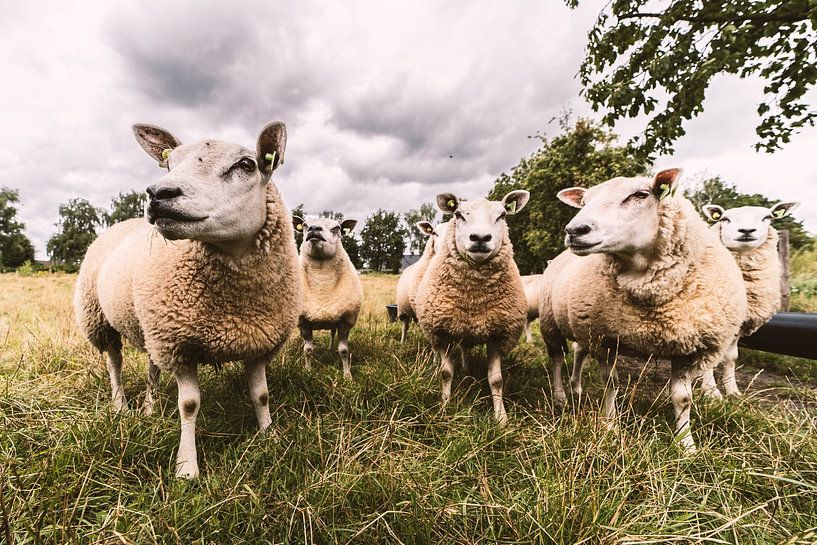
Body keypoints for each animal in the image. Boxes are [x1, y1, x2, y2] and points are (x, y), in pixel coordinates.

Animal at [74, 121, 300, 478]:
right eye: (169, 164)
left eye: (247, 164)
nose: (158, 194)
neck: (235, 308)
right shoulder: (180, 347)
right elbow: (189, 405)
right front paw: (186, 466)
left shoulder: (258, 341)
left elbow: (261, 395)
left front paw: (270, 436)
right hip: (99, 319)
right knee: (114, 363)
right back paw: (120, 405)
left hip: (152, 328)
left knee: (152, 368)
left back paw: (149, 407)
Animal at [292, 215, 363, 380]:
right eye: (304, 225)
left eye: (337, 228)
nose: (314, 229)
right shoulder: (303, 321)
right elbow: (308, 350)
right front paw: (308, 372)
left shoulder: (345, 320)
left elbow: (343, 350)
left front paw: (347, 376)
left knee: (332, 332)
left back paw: (330, 349)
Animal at [415, 191, 530, 424]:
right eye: (458, 214)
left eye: (502, 215)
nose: (480, 238)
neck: (474, 301)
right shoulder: (442, 332)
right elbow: (446, 372)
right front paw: (445, 405)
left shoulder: (498, 333)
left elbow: (496, 380)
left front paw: (501, 418)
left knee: (465, 349)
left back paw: (467, 369)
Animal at [539, 169, 746, 451]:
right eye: (584, 201)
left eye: (640, 194)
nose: (575, 230)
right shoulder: (606, 340)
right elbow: (611, 384)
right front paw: (610, 426)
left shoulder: (689, 347)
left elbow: (682, 398)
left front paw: (686, 444)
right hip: (552, 324)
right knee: (558, 359)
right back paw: (560, 395)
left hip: (581, 325)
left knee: (579, 353)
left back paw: (577, 388)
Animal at [698, 201, 799, 396]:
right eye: (725, 218)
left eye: (767, 217)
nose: (746, 230)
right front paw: (712, 393)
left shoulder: (739, 322)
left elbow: (731, 357)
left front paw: (732, 391)